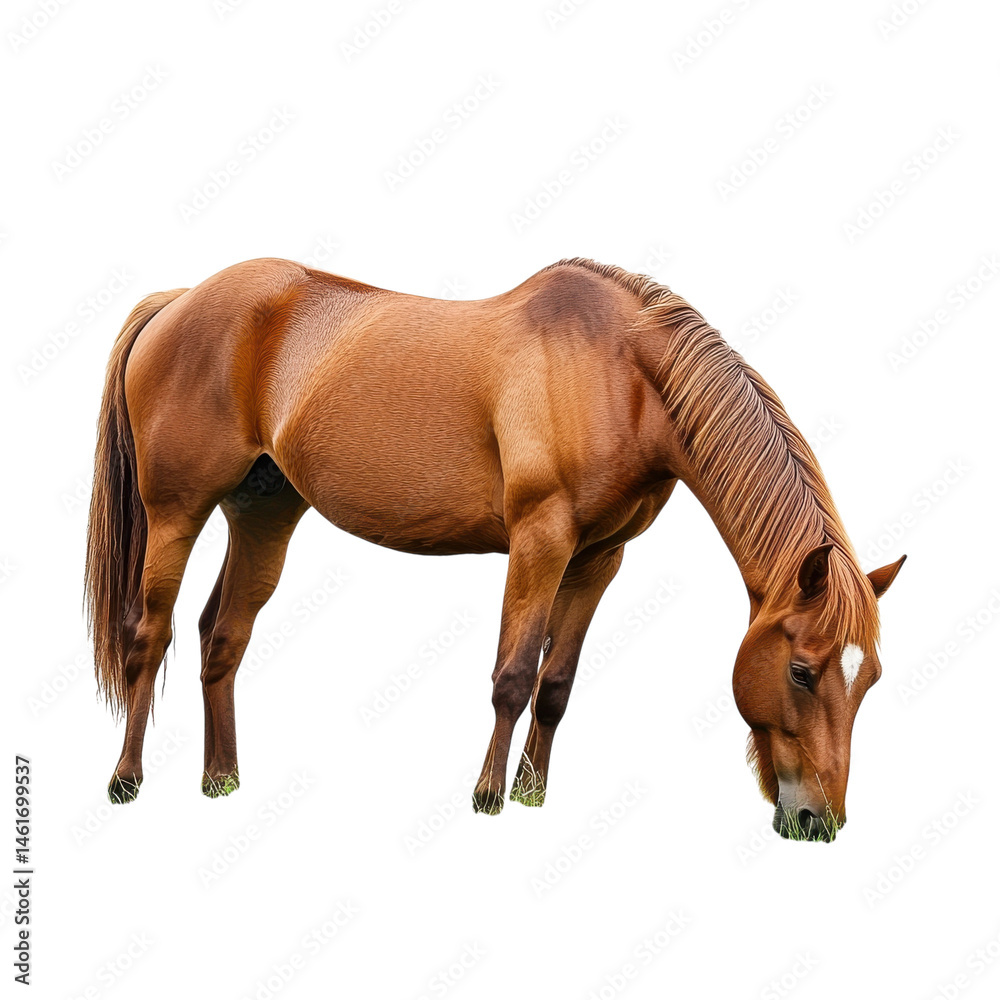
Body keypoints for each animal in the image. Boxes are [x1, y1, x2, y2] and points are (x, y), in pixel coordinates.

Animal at [85, 256, 904, 840]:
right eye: (802, 672)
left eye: (869, 680)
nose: (819, 821)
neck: (621, 373)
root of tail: (180, 298)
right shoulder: (539, 541)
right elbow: (513, 675)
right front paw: (487, 797)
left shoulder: (598, 558)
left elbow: (556, 684)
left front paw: (533, 794)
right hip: (175, 513)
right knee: (149, 636)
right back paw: (125, 780)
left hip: (263, 512)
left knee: (221, 638)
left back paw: (220, 779)